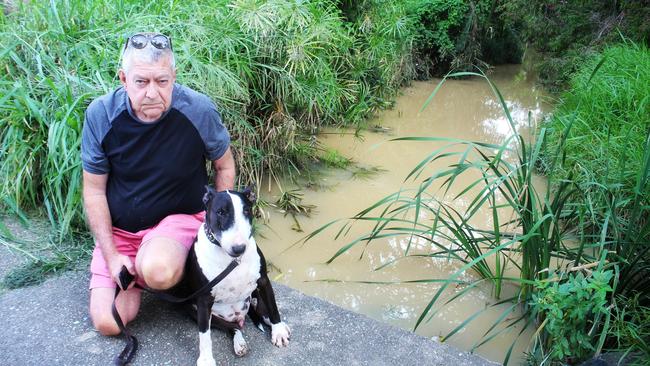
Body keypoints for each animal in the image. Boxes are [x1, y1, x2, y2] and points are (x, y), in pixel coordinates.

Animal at [175, 187, 292, 364]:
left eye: (247, 210)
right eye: (220, 212)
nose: (239, 248)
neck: (231, 259)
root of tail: (239, 316)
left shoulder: (263, 281)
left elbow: (273, 308)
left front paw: (278, 332)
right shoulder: (203, 300)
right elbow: (204, 335)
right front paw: (206, 359)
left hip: (256, 296)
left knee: (264, 315)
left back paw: (278, 326)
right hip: (193, 308)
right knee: (233, 328)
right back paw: (239, 343)